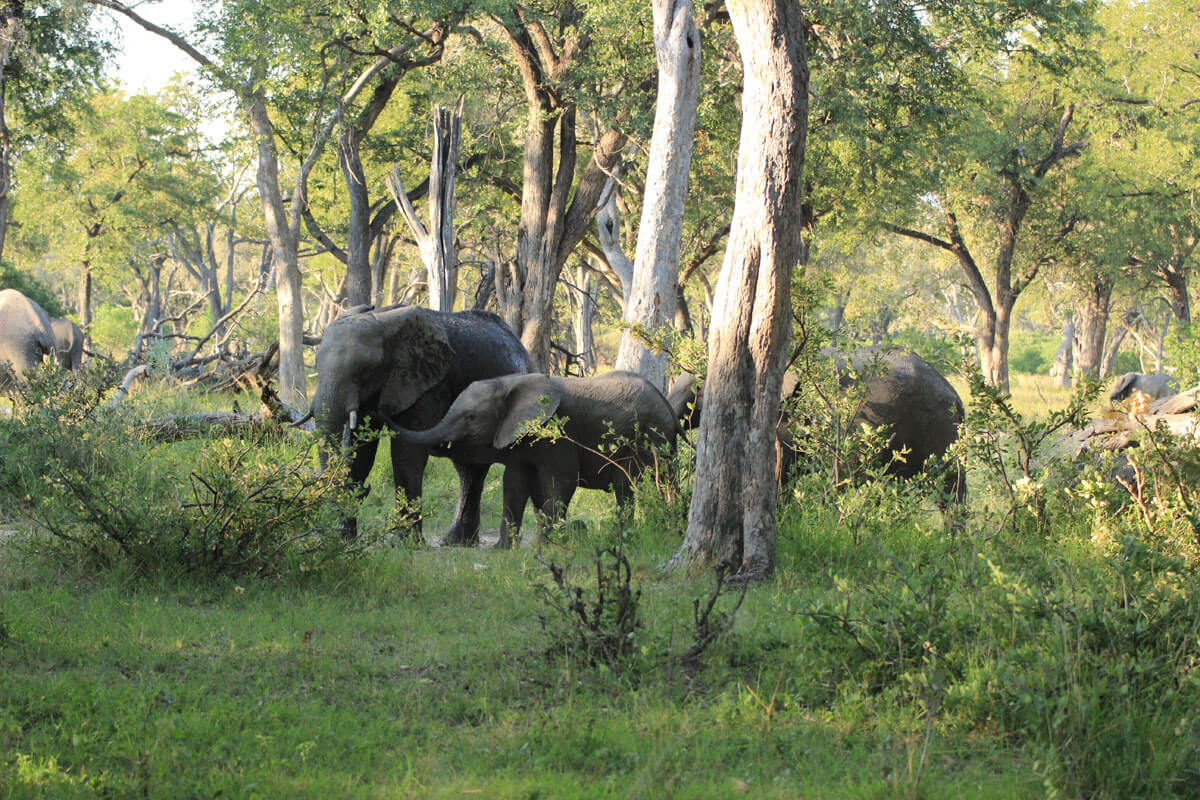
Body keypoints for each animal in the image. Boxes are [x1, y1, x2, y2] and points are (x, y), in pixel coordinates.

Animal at [307, 304, 532, 544]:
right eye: (316, 365)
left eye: (366, 369)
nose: (365, 489)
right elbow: (361, 451)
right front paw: (344, 540)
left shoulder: (428, 385)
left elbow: (407, 453)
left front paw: (404, 543)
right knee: (469, 469)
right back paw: (456, 542)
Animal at [384, 371, 686, 546]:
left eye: (470, 417)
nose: (382, 411)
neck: (509, 383)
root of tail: (668, 407)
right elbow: (514, 484)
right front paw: (504, 550)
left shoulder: (558, 433)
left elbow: (561, 480)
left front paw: (548, 546)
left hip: (652, 436)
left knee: (634, 485)